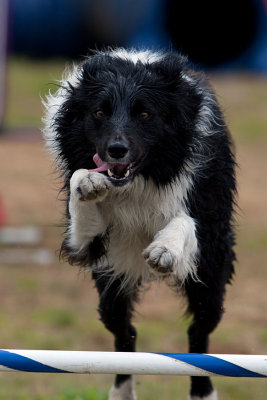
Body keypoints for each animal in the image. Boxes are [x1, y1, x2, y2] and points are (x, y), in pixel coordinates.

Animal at [43, 49, 238, 400]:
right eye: (99, 112)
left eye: (145, 114)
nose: (116, 150)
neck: (139, 179)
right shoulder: (85, 246)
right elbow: (81, 181)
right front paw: (89, 183)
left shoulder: (208, 222)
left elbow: (184, 220)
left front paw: (164, 249)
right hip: (110, 288)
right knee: (125, 332)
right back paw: (121, 390)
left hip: (210, 281)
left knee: (199, 333)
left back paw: (203, 392)